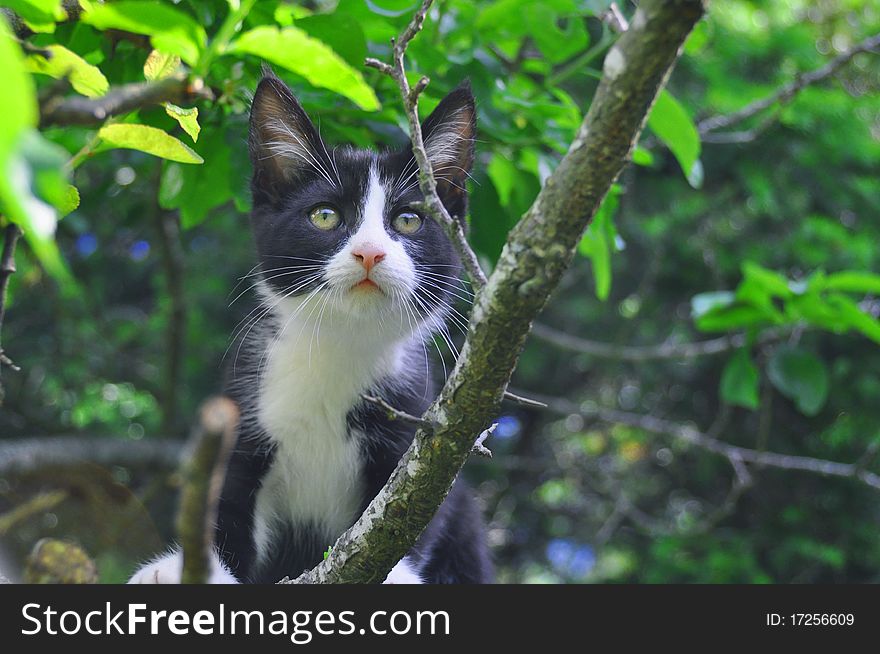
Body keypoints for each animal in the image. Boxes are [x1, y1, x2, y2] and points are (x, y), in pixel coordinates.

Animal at [127, 74, 492, 588]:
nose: (370, 253)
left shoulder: (417, 421)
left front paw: (397, 574)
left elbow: (413, 507)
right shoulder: (247, 408)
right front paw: (184, 568)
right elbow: (224, 502)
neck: (339, 347)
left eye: (408, 220)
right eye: (324, 216)